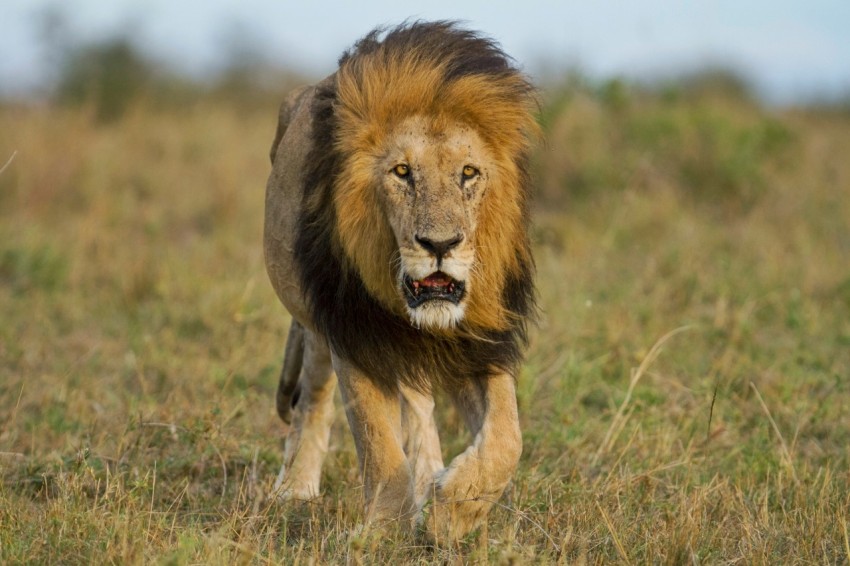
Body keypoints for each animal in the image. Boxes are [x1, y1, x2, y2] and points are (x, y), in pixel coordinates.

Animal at [263, 21, 538, 542]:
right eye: (402, 172)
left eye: (468, 173)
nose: (440, 245)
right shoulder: (353, 332)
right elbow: (378, 444)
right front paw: (380, 534)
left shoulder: (479, 339)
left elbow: (507, 438)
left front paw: (451, 511)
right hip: (314, 319)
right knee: (314, 395)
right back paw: (296, 490)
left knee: (419, 405)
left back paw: (429, 477)